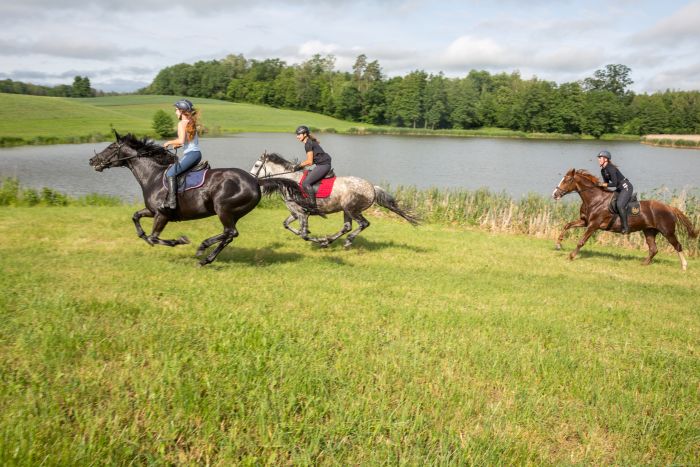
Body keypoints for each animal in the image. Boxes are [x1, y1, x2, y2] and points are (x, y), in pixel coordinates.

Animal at [89, 133, 306, 266]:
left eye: (110, 147)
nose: (92, 161)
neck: (153, 175)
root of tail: (255, 180)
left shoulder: (162, 214)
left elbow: (155, 237)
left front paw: (179, 240)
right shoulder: (151, 211)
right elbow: (136, 218)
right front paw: (143, 236)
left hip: (223, 208)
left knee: (230, 232)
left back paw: (203, 248)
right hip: (232, 213)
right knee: (229, 235)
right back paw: (206, 258)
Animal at [252, 154, 418, 249]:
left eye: (256, 165)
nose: (251, 178)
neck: (290, 181)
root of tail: (372, 187)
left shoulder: (301, 214)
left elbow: (304, 234)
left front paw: (317, 239)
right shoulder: (295, 213)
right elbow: (286, 225)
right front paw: (316, 238)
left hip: (352, 209)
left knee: (363, 224)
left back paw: (345, 241)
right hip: (346, 211)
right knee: (347, 227)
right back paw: (330, 240)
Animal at [552, 169, 696, 270]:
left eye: (567, 180)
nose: (555, 194)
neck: (595, 199)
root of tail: (670, 208)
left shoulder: (593, 225)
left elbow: (581, 241)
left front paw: (571, 256)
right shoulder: (585, 221)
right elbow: (567, 225)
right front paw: (558, 244)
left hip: (667, 232)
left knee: (677, 245)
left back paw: (684, 266)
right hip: (649, 231)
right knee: (653, 249)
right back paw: (644, 263)